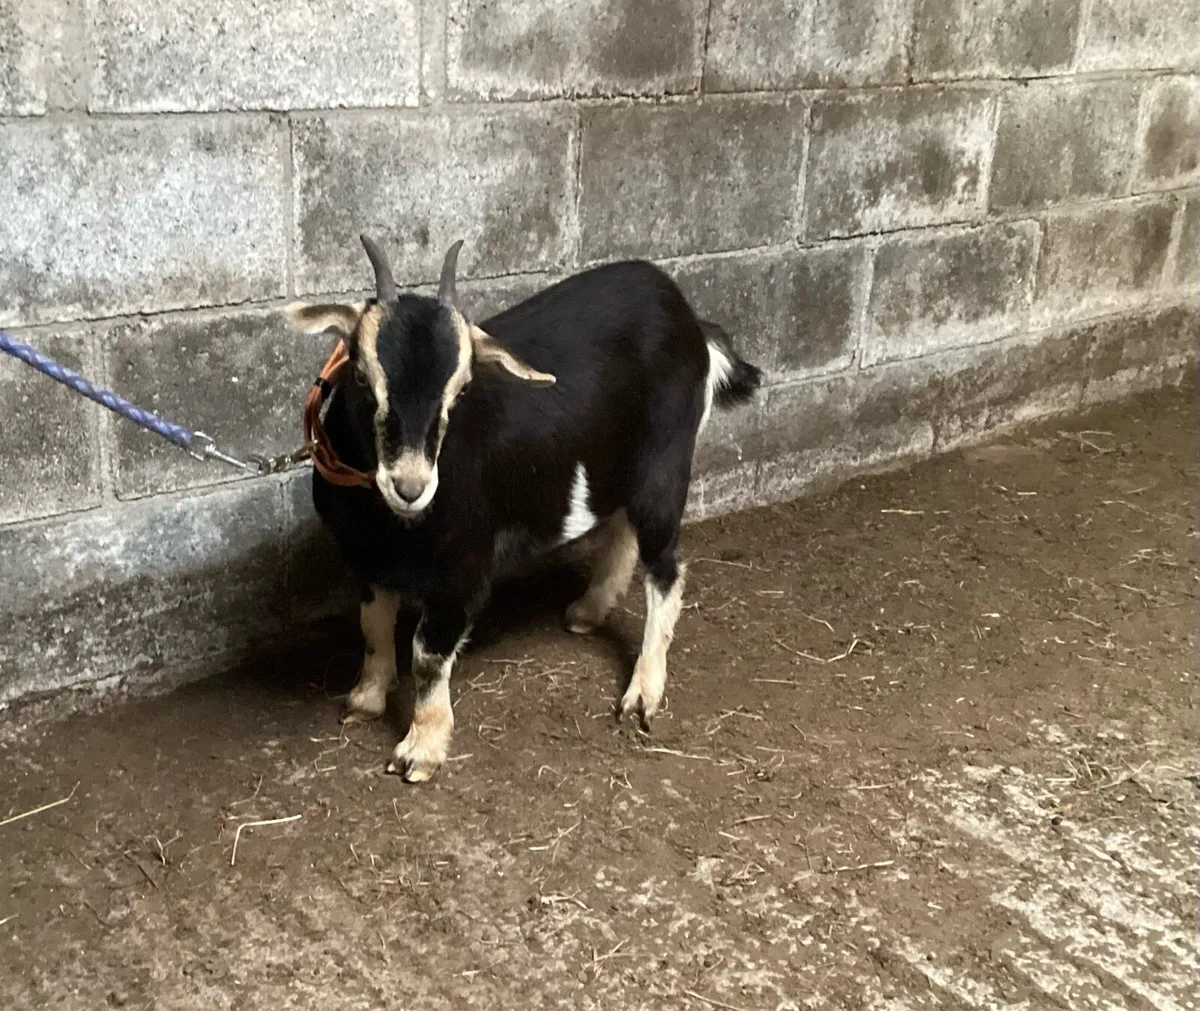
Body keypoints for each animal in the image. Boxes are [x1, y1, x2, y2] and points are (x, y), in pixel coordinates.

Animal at [286, 236, 761, 782]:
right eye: (361, 376)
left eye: (462, 387)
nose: (411, 486)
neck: (387, 521)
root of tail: (691, 320)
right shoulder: (365, 560)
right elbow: (372, 625)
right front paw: (365, 697)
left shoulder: (463, 567)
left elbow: (428, 654)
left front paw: (421, 749)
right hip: (619, 469)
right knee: (622, 532)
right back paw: (588, 610)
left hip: (666, 464)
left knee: (666, 569)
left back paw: (642, 693)